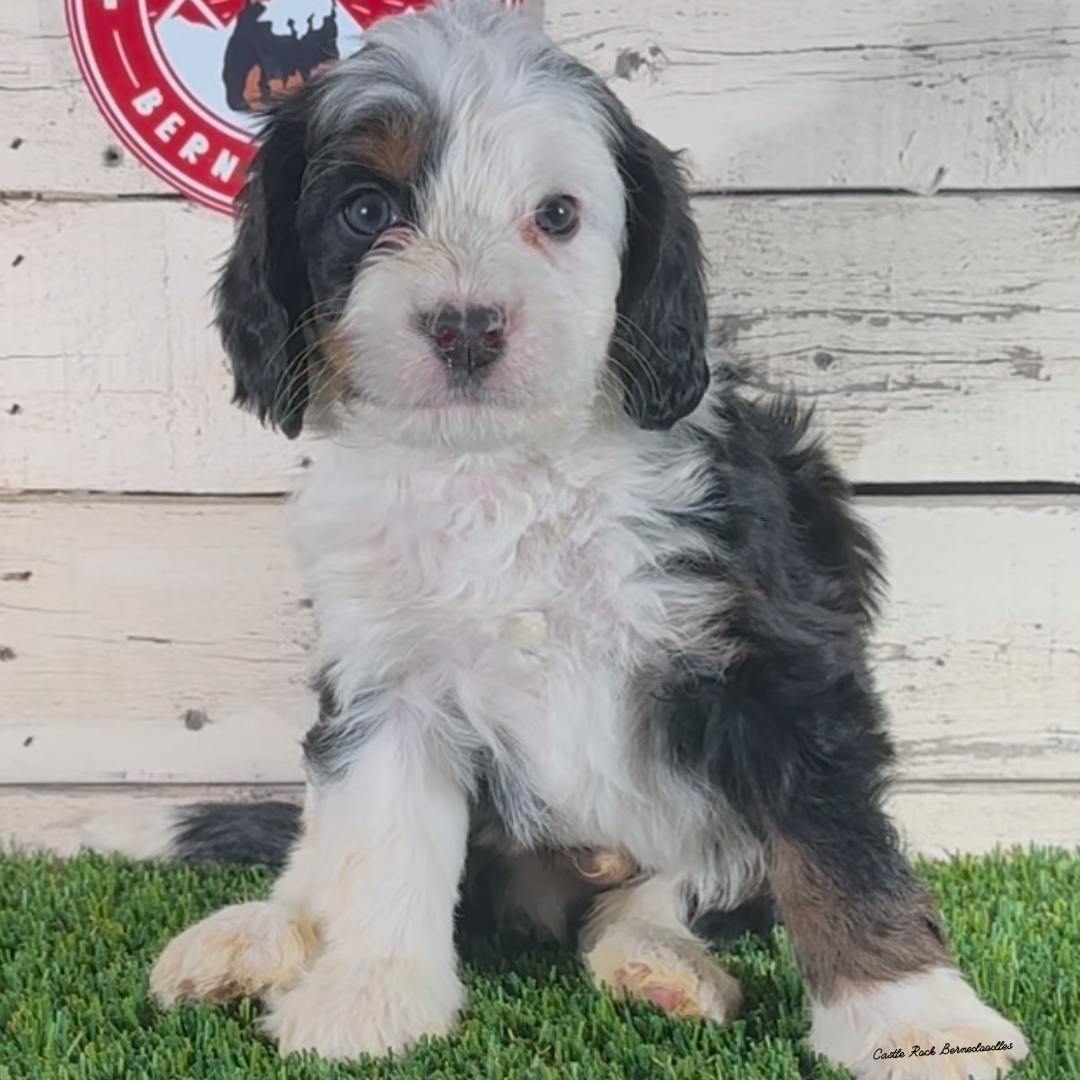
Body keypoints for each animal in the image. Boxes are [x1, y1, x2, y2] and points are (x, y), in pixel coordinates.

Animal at [97, 4, 1023, 1075]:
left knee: (695, 880)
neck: (503, 466)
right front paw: (370, 1000)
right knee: (319, 850)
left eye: (558, 215)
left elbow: (833, 845)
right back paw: (256, 936)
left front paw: (913, 1022)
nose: (465, 325)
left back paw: (661, 963)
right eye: (366, 213)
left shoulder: (776, 652)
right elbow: (380, 840)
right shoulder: (386, 678)